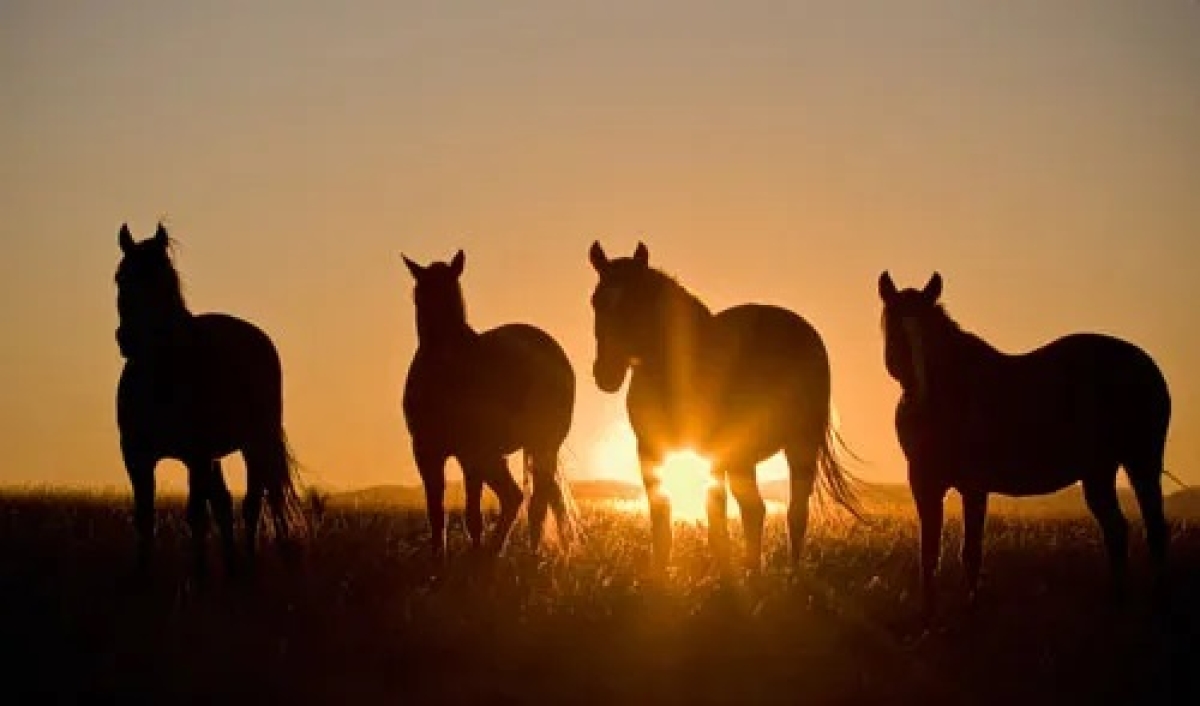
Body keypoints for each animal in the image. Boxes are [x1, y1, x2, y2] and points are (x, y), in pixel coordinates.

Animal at [115, 222, 304, 578]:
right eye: (120, 276)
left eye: (165, 278)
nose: (129, 339)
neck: (164, 375)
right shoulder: (137, 456)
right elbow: (145, 518)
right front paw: (142, 576)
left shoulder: (197, 456)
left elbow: (196, 517)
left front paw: (200, 578)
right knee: (225, 504)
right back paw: (231, 568)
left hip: (254, 443)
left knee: (253, 504)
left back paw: (249, 568)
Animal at [400, 250, 578, 559]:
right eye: (419, 295)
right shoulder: (427, 452)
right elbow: (436, 511)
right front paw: (438, 559)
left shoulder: (470, 454)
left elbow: (473, 514)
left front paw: (473, 558)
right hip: (507, 455)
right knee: (528, 497)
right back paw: (503, 551)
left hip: (538, 446)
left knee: (535, 501)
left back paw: (525, 556)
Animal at [585, 242, 859, 573]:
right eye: (596, 301)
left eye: (638, 301)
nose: (605, 374)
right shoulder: (650, 451)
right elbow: (662, 521)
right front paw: (660, 577)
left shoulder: (712, 452)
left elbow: (716, 522)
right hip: (744, 456)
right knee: (755, 510)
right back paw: (753, 570)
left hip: (796, 444)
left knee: (793, 512)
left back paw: (788, 573)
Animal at [883, 270, 1171, 619]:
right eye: (895, 331)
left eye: (930, 335)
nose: (920, 399)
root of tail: (1147, 365)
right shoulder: (925, 483)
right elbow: (929, 553)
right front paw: (929, 613)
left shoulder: (973, 486)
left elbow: (971, 551)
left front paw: (972, 610)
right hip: (1099, 472)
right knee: (1117, 529)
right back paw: (1117, 601)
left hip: (1142, 462)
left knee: (1154, 530)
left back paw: (1157, 602)